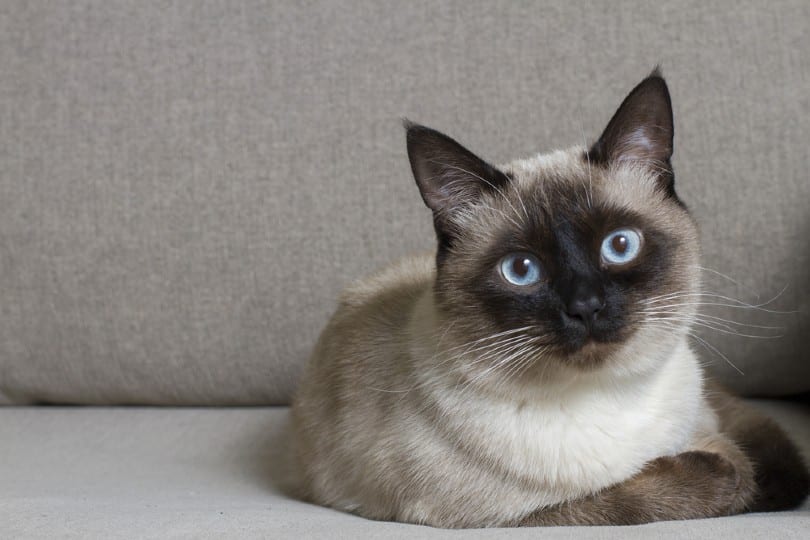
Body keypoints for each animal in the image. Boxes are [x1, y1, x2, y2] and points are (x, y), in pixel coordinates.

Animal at [288, 71, 804, 528]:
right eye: (521, 270)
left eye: (620, 245)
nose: (586, 306)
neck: (605, 396)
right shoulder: (508, 516)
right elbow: (681, 487)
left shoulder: (704, 425)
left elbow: (738, 461)